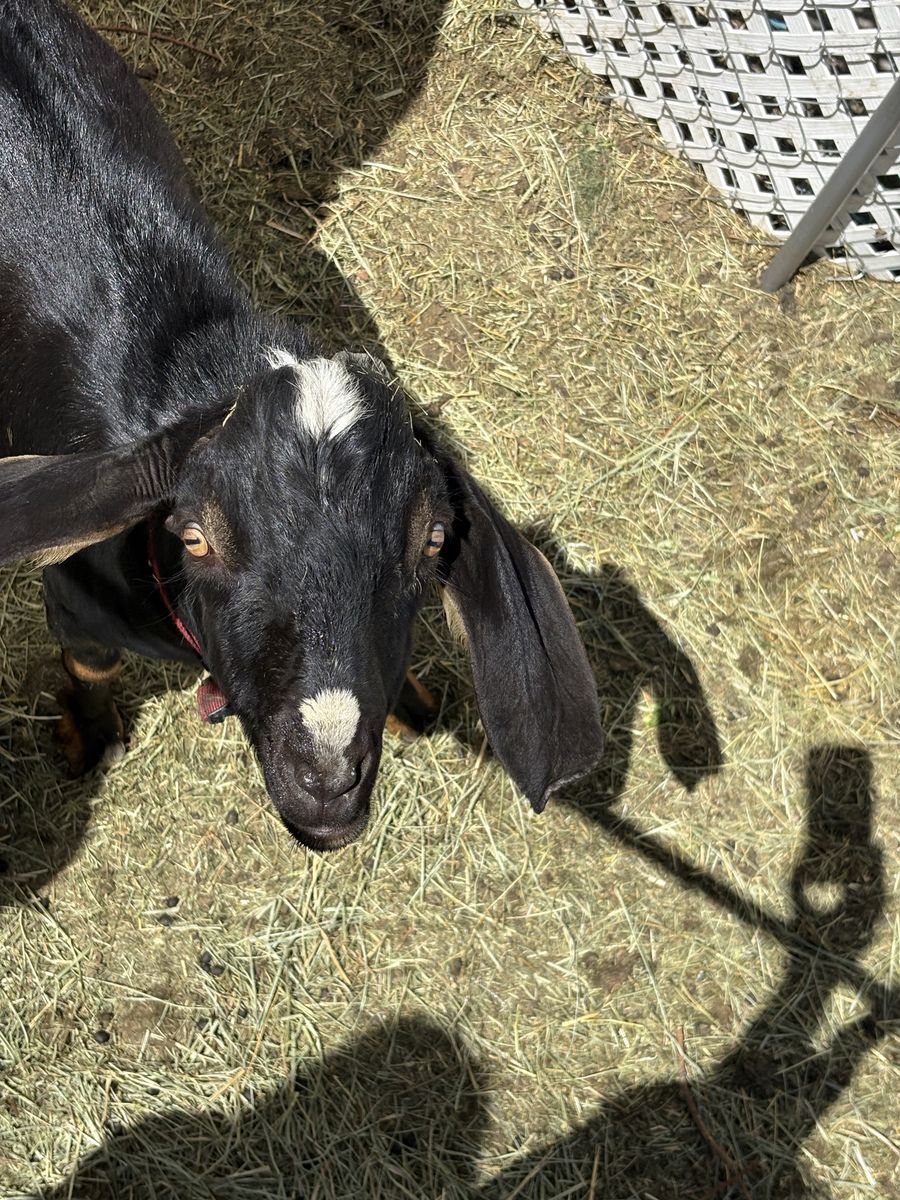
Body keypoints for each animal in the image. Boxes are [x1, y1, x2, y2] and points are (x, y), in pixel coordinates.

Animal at [0, 0, 603, 851]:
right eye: (193, 536)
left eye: (433, 541)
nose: (325, 781)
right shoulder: (75, 598)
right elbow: (89, 667)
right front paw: (87, 740)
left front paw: (414, 703)